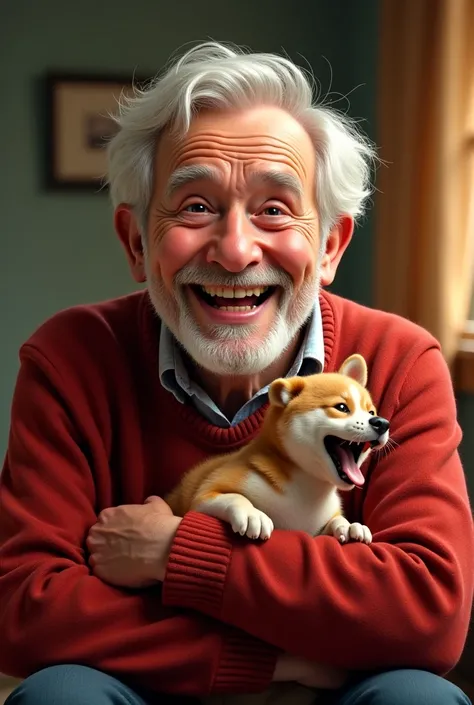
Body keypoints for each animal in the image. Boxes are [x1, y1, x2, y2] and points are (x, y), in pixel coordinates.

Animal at [167, 354, 388, 548]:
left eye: (371, 411)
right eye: (342, 407)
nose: (382, 423)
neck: (309, 488)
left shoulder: (318, 528)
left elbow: (334, 521)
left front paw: (348, 526)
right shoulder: (205, 494)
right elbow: (234, 497)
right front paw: (252, 514)